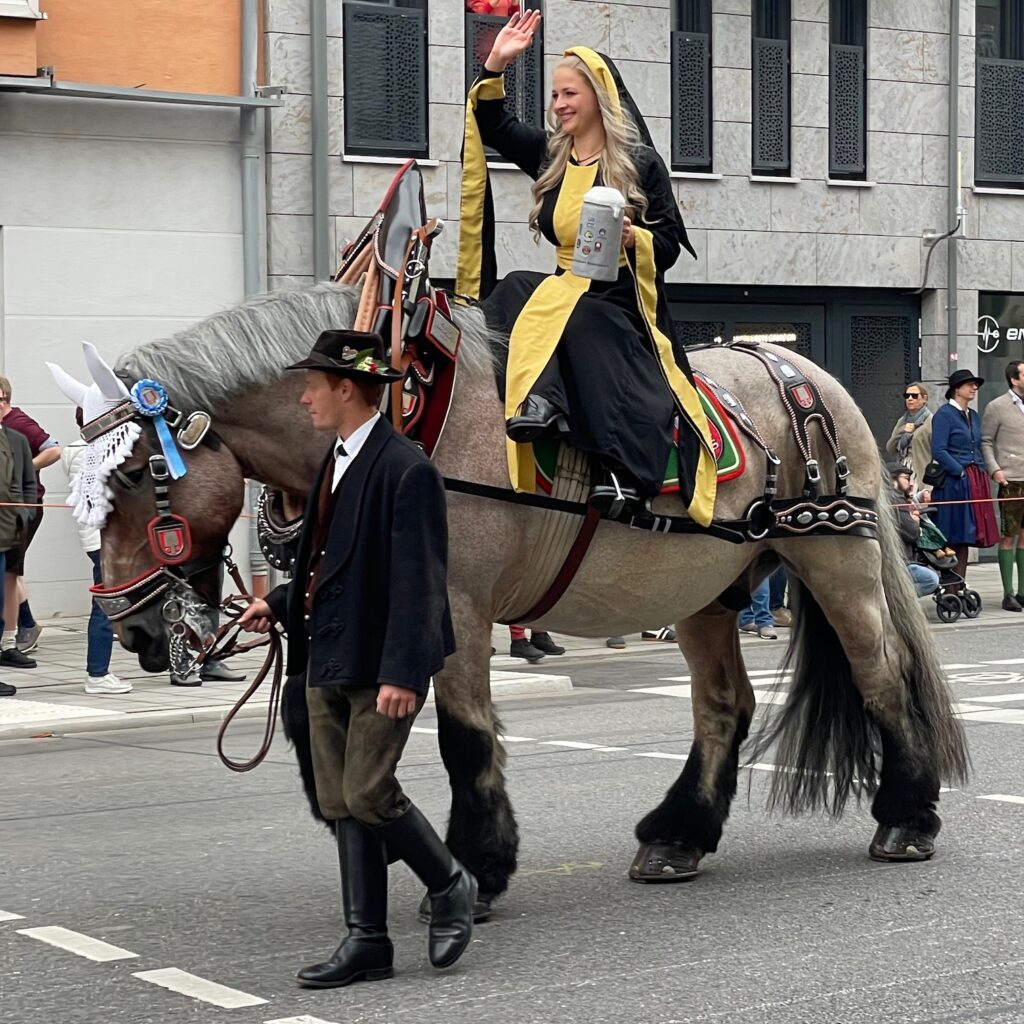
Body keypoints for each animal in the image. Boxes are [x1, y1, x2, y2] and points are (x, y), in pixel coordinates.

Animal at [90, 282, 966, 913]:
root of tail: (799, 371)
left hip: (833, 557)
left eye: (134, 474)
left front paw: (477, 865)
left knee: (882, 675)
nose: (131, 628)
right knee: (723, 706)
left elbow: (464, 735)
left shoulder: (455, 606)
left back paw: (907, 816)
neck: (402, 415)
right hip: (708, 586)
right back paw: (679, 834)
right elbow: (326, 722)